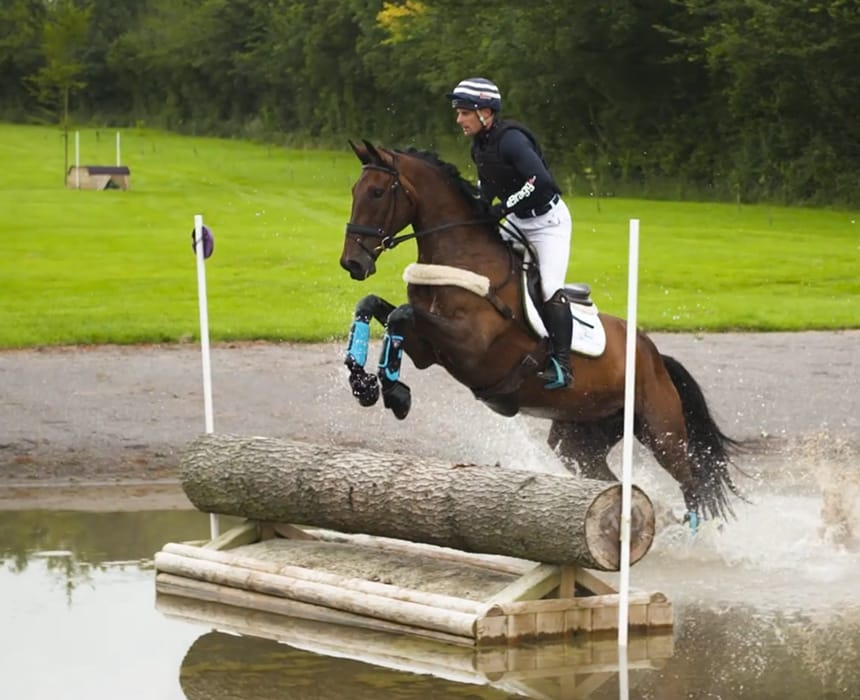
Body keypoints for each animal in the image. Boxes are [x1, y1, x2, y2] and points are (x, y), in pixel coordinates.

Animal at [340, 141, 744, 524]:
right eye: (354, 190)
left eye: (377, 192)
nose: (352, 263)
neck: (463, 256)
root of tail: (655, 354)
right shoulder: (428, 349)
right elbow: (375, 307)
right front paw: (366, 385)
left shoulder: (469, 345)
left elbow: (400, 316)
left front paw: (394, 393)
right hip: (578, 440)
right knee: (610, 479)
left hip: (661, 431)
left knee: (691, 482)